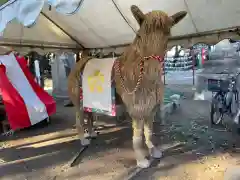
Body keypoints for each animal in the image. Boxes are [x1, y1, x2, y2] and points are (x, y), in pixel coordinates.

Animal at [67, 5, 188, 169]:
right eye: (140, 36)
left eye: (168, 36)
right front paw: (141, 160)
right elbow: (137, 135)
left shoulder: (151, 106)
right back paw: (83, 140)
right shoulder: (136, 107)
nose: (152, 68)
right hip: (77, 99)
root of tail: (80, 62)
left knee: (89, 114)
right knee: (79, 118)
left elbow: (149, 132)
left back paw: (91, 133)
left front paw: (153, 151)